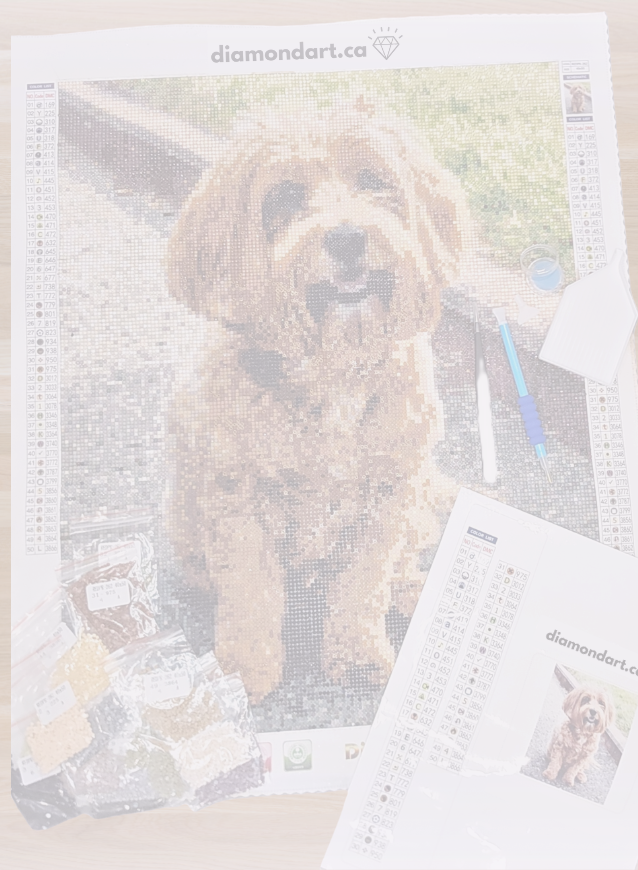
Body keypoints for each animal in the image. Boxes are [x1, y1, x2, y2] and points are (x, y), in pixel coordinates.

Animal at [166, 97, 471, 703]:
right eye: (284, 196)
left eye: (374, 181)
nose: (348, 239)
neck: (335, 370)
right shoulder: (240, 500)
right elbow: (249, 590)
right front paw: (245, 670)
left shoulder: (389, 497)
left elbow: (363, 584)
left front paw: (357, 656)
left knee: (403, 560)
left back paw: (411, 590)